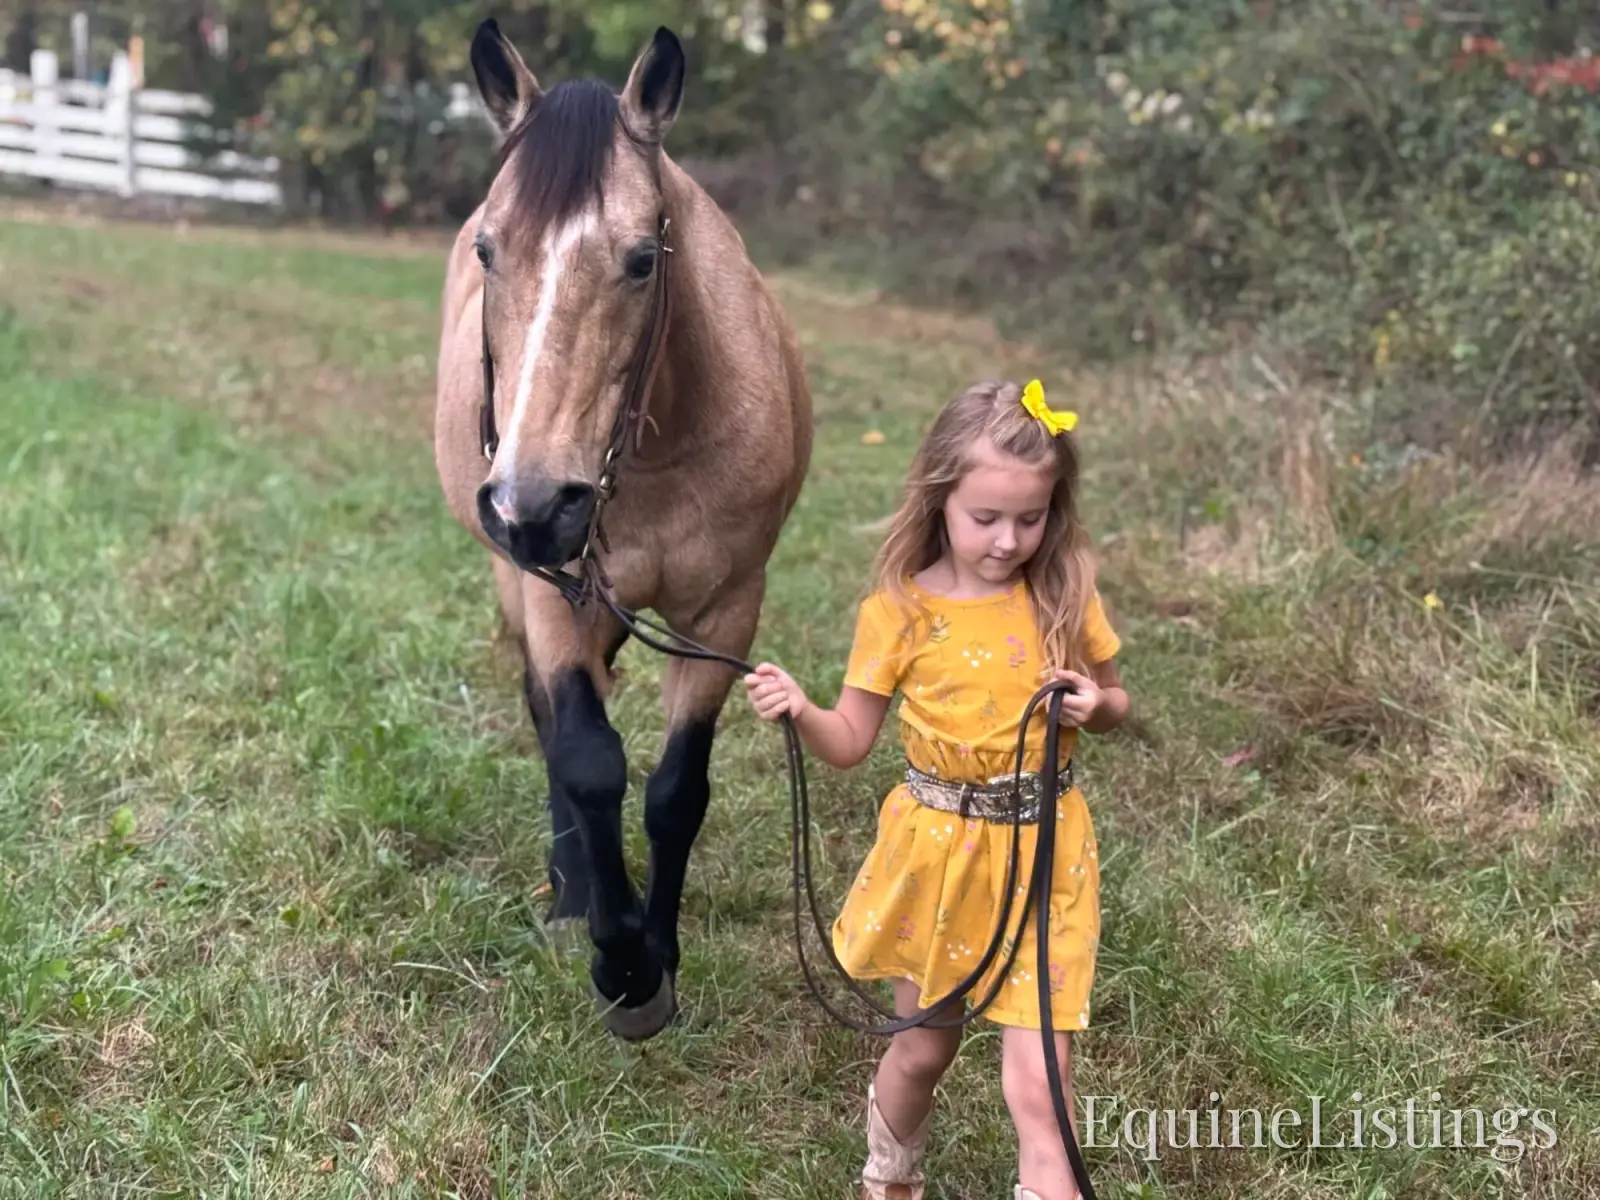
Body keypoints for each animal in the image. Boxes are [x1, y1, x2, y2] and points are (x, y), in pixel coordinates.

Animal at [433, 18, 814, 1041]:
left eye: (643, 260)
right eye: (488, 251)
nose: (535, 507)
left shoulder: (728, 608)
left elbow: (678, 791)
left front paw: (659, 956)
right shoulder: (550, 590)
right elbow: (588, 760)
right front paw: (620, 960)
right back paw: (573, 891)